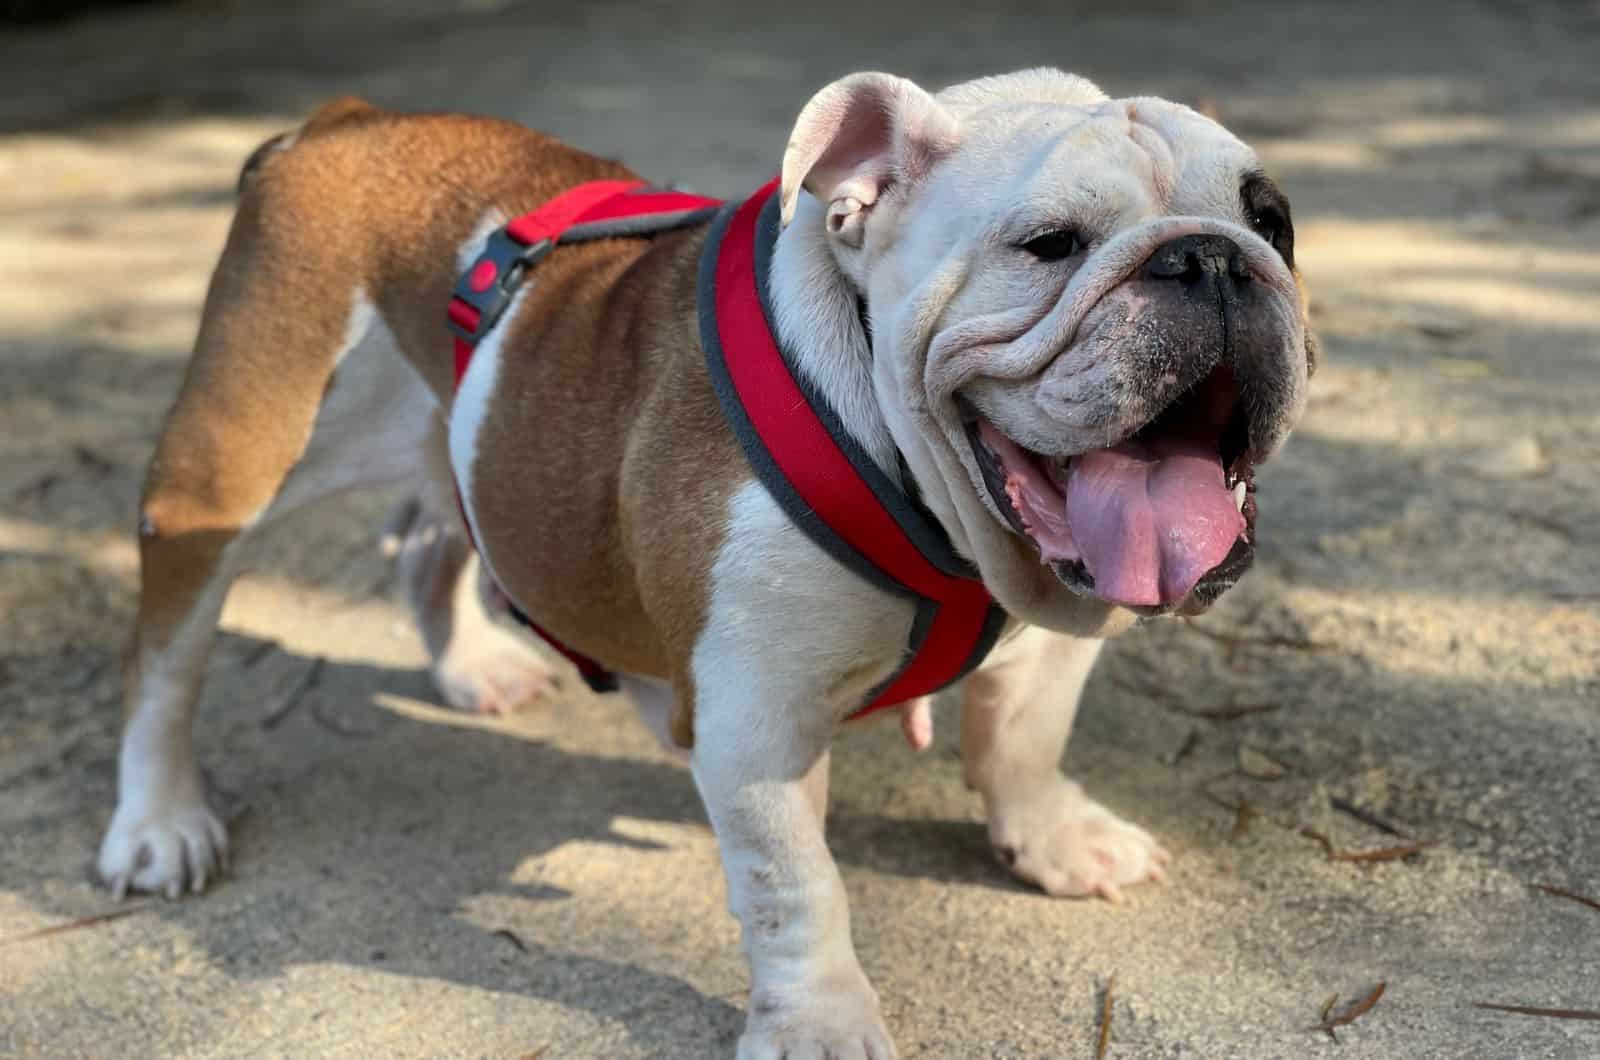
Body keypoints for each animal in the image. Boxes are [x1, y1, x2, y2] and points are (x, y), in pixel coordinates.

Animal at [100, 70, 1312, 1056]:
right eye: (1050, 242)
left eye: (1273, 220)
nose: (1209, 255)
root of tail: (339, 125)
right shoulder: (755, 719)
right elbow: (798, 886)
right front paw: (821, 1024)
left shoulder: (1056, 627)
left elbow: (1024, 736)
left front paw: (1055, 840)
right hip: (228, 465)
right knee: (166, 656)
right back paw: (159, 825)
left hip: (465, 439)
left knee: (435, 543)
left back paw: (474, 671)